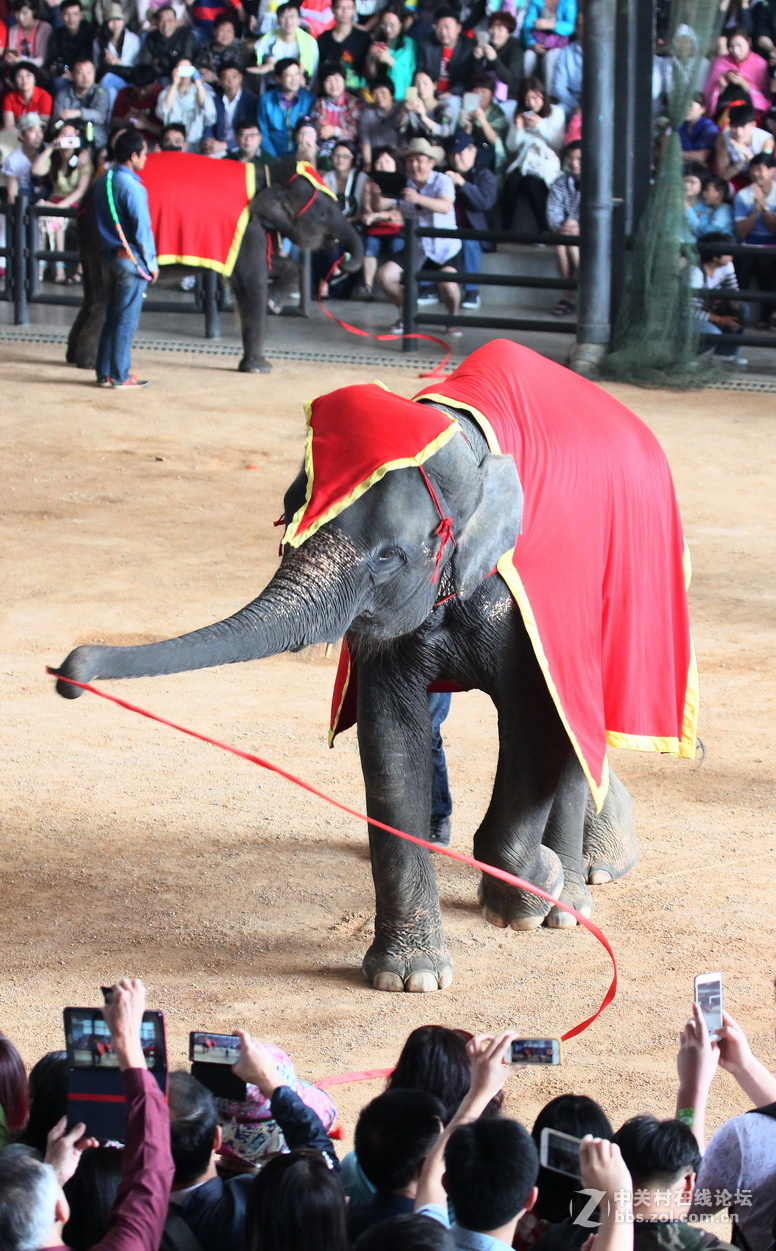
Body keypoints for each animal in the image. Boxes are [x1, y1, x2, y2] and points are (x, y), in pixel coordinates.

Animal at [54, 337, 695, 990]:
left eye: (390, 556)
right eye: (287, 514)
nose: (71, 672)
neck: (464, 444)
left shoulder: (531, 602)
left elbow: (536, 719)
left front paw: (527, 895)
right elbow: (392, 743)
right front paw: (409, 979)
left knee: (575, 729)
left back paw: (574, 895)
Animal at [66, 153, 362, 372]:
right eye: (323, 214)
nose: (343, 257)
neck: (269, 173)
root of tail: (89, 196)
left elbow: (272, 267)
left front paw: (274, 303)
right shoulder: (248, 226)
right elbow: (251, 280)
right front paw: (260, 368)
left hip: (91, 240)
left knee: (94, 294)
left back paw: (76, 359)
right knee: (107, 296)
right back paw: (88, 363)